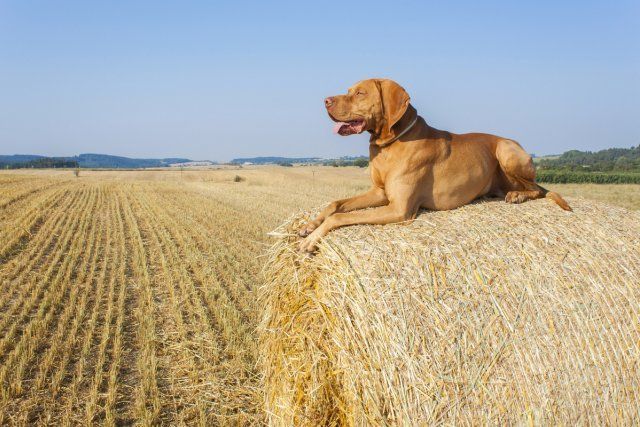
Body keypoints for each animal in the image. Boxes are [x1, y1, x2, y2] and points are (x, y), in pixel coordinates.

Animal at [298, 78, 572, 252]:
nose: (325, 101)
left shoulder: (399, 209)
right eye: (349, 90)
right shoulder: (380, 193)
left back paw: (517, 195)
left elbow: (340, 217)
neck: (389, 144)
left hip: (506, 151)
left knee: (537, 189)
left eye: (360, 93)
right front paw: (310, 224)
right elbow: (335, 205)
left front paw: (313, 238)